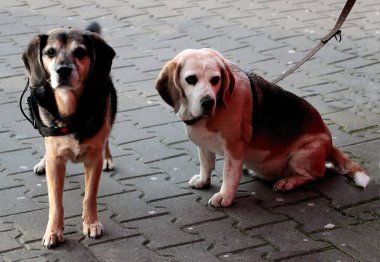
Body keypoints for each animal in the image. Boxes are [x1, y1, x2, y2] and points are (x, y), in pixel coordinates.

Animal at [21, 24, 116, 248]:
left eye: (80, 52)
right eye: (50, 52)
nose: (63, 70)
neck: (70, 108)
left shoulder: (93, 159)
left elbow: (90, 196)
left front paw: (91, 223)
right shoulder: (56, 162)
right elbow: (56, 202)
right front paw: (54, 232)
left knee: (107, 136)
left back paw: (108, 158)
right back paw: (42, 162)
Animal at [155, 48, 372, 207]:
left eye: (215, 80)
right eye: (191, 79)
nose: (208, 102)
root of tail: (329, 142)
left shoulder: (234, 149)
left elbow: (229, 175)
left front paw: (225, 196)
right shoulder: (204, 145)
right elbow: (207, 164)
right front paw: (203, 180)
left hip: (302, 155)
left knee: (315, 175)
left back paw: (288, 182)